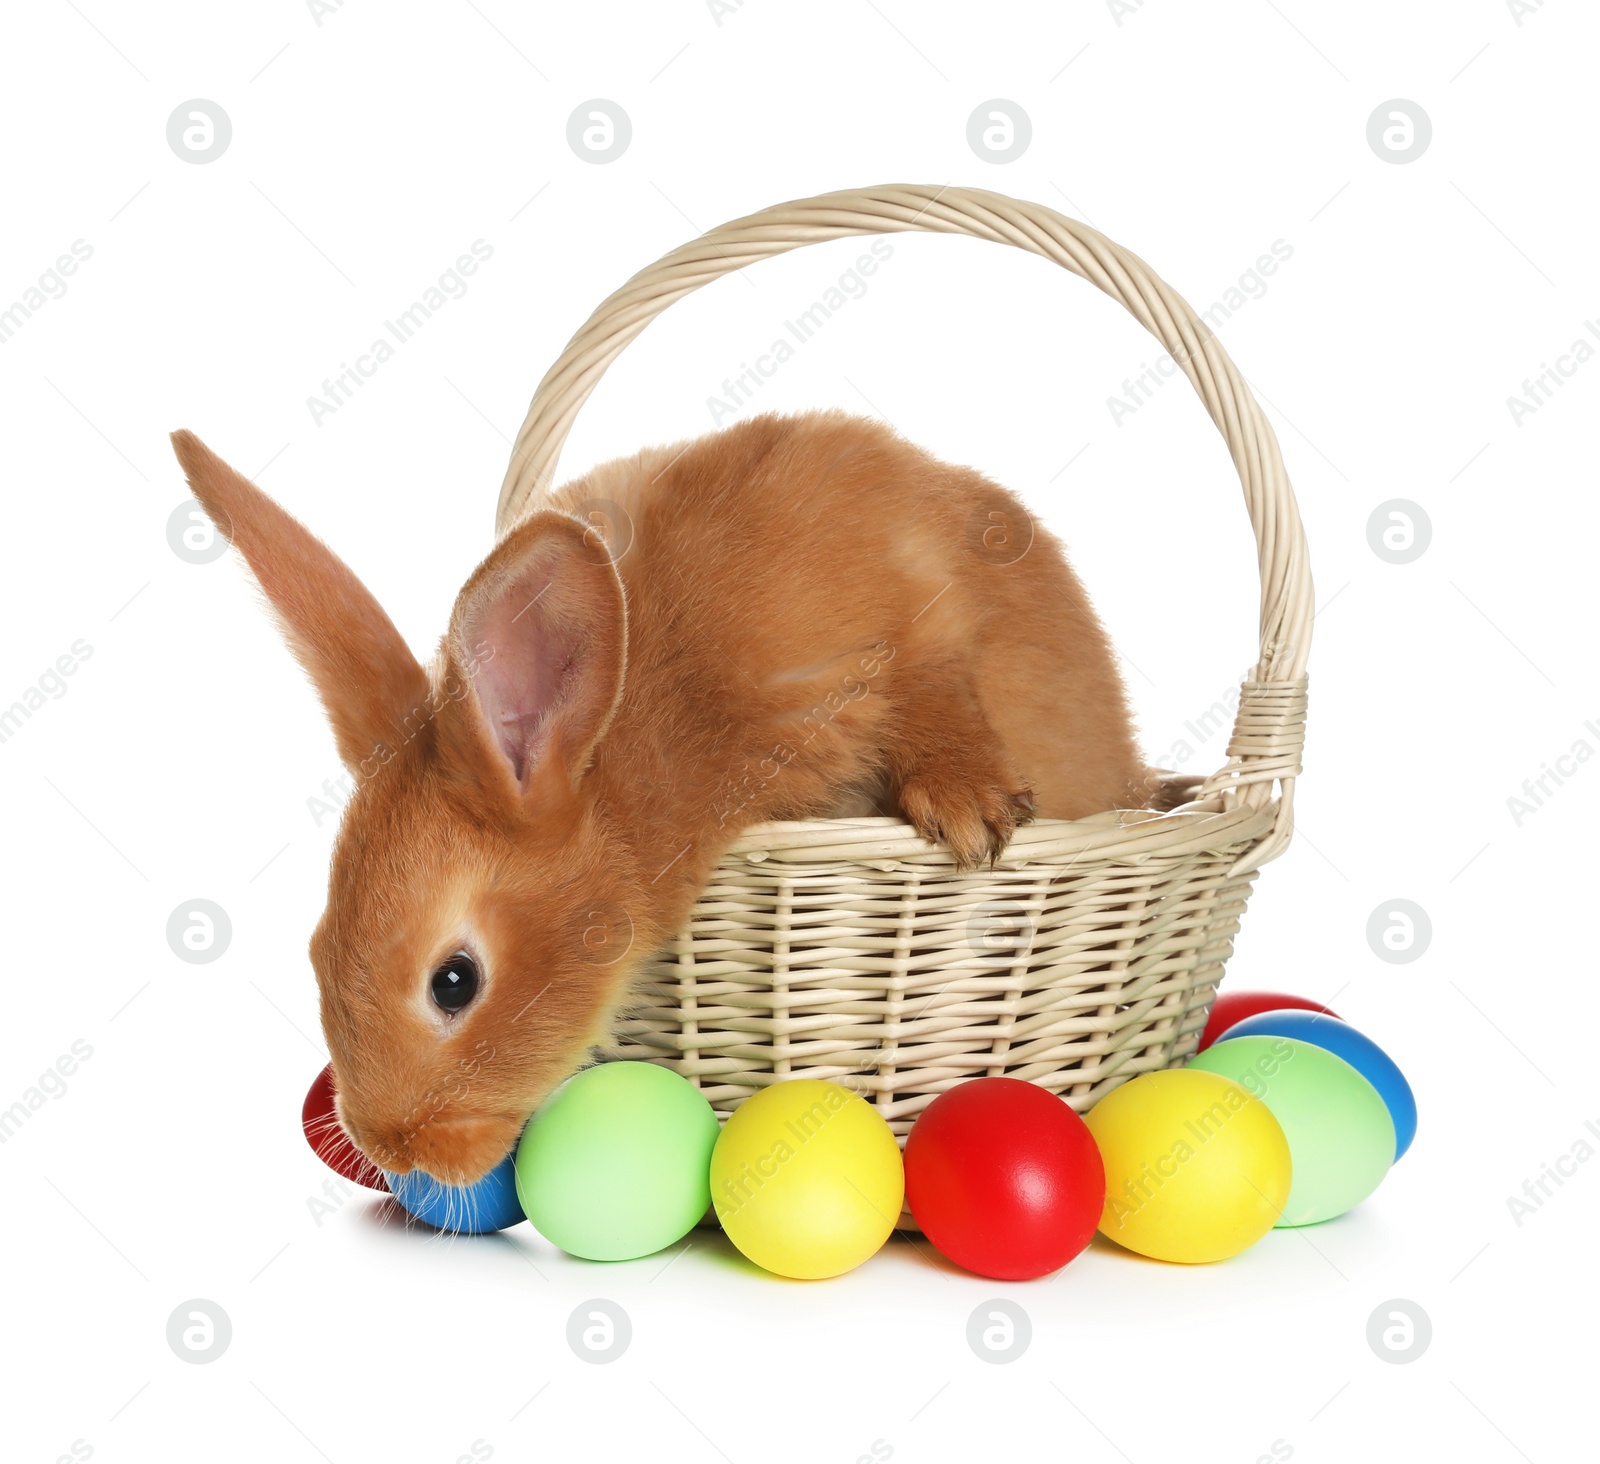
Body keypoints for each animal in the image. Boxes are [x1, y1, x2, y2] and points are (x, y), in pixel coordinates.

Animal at [175, 406, 1177, 1184]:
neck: (643, 736)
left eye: (453, 982)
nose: (391, 1148)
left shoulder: (914, 608)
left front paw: (968, 804)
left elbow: (936, 686)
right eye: (315, 948)